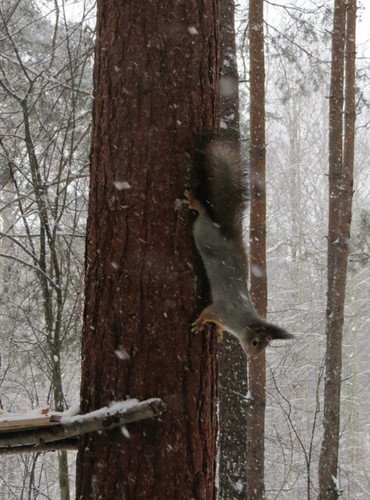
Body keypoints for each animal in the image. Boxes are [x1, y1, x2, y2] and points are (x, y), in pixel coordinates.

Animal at [184, 135, 294, 358]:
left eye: (266, 345)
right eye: (255, 342)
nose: (252, 356)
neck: (241, 321)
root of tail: (225, 233)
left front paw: (217, 332)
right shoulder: (222, 310)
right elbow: (207, 312)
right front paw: (200, 323)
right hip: (202, 232)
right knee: (203, 215)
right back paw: (195, 203)